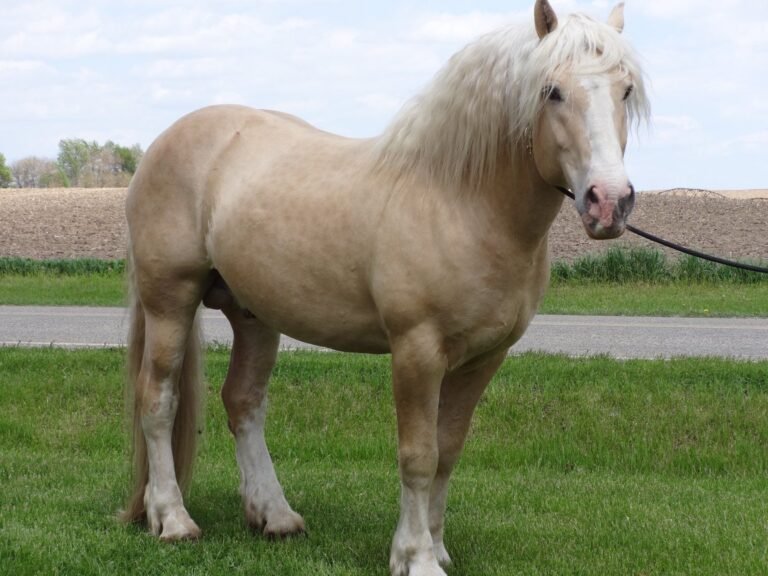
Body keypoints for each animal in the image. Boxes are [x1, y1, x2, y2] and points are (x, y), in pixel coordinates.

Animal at [121, 1, 649, 574]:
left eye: (625, 89)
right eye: (551, 90)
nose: (608, 202)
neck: (459, 201)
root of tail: (165, 143)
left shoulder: (484, 358)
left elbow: (448, 451)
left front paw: (437, 548)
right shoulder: (417, 351)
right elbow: (419, 456)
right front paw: (414, 557)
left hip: (254, 315)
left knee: (244, 402)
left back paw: (276, 516)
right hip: (170, 300)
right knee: (158, 399)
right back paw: (172, 519)